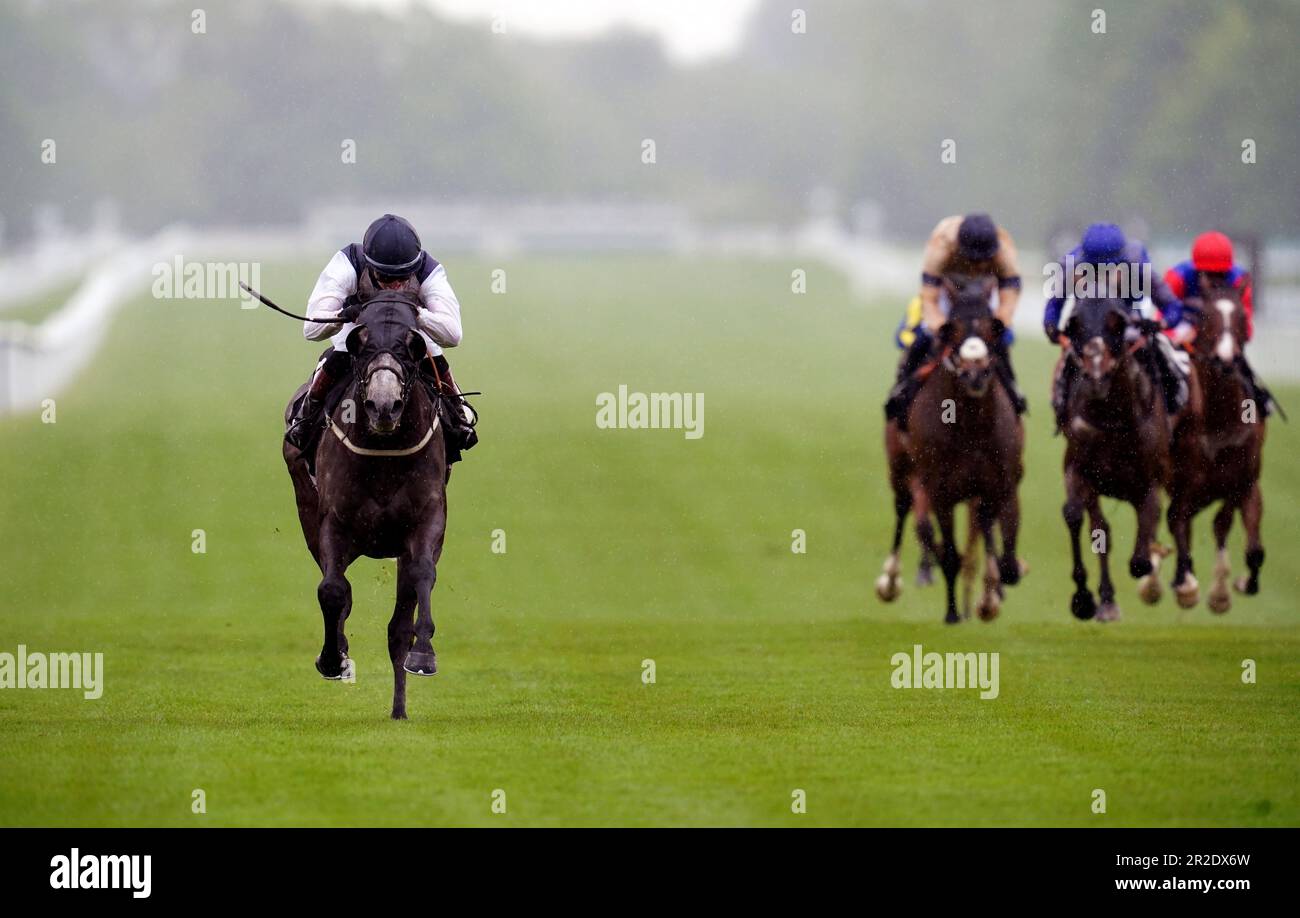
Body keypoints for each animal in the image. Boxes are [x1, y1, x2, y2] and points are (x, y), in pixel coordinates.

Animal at [282, 291, 449, 717]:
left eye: (412, 346)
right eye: (362, 343)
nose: (383, 405)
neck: (383, 452)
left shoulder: (427, 519)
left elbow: (422, 576)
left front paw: (424, 656)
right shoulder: (333, 521)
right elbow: (332, 590)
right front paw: (332, 659)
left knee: (397, 627)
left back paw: (399, 709)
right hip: (305, 506)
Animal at [894, 273, 1024, 621]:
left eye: (993, 327)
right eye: (952, 328)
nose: (975, 373)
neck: (971, 426)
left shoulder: (1000, 485)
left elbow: (1003, 556)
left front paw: (992, 595)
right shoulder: (941, 491)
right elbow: (949, 552)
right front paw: (953, 614)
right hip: (901, 471)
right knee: (904, 511)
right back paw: (891, 580)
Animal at [1060, 296, 1175, 618]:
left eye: (1119, 324)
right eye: (1074, 324)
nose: (1097, 375)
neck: (1113, 420)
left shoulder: (1150, 483)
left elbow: (1140, 560)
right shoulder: (1079, 469)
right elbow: (1084, 522)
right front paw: (1086, 598)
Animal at [1164, 276, 1263, 608]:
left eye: (1242, 317)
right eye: (1205, 316)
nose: (1225, 360)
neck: (1221, 417)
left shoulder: (1242, 479)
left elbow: (1231, 526)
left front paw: (1232, 587)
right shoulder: (1187, 481)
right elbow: (1178, 521)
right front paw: (1188, 585)